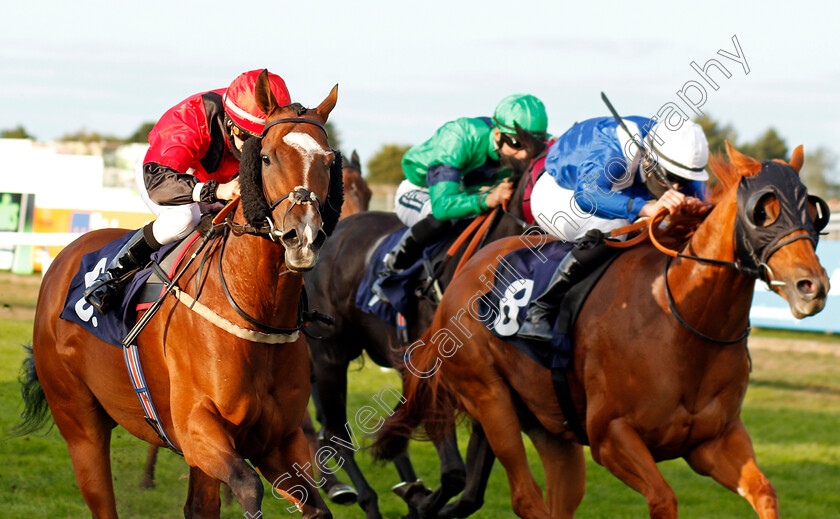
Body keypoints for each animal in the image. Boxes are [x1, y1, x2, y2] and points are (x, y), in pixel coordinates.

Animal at [23, 72, 344, 519]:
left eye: (329, 161)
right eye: (266, 157)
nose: (304, 237)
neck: (256, 311)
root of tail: (62, 259)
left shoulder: (280, 440)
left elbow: (315, 506)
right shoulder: (196, 428)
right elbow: (248, 487)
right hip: (79, 422)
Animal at [302, 130, 544, 519]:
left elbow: (471, 490)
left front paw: (419, 497)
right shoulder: (433, 379)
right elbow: (455, 474)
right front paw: (418, 501)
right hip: (329, 357)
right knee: (334, 432)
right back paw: (359, 494)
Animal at [378, 142, 832, 519]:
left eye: (813, 212)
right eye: (763, 211)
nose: (812, 286)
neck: (685, 321)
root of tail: (465, 274)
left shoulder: (714, 442)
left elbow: (765, 493)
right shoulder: (611, 436)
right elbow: (663, 499)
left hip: (550, 427)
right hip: (491, 401)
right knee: (525, 498)